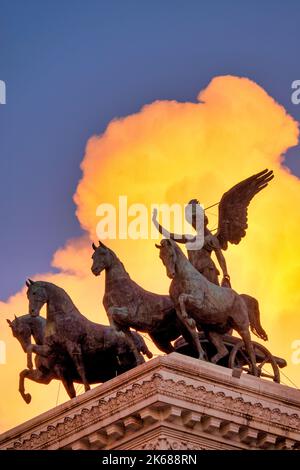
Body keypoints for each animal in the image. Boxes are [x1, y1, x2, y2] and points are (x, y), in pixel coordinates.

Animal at [155, 239, 268, 374]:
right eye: (161, 257)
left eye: (171, 255)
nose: (171, 274)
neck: (183, 277)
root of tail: (241, 298)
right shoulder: (178, 309)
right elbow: (192, 331)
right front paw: (201, 356)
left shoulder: (198, 301)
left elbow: (182, 298)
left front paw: (189, 318)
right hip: (212, 331)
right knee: (223, 350)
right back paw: (214, 363)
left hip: (242, 327)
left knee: (249, 347)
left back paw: (254, 371)